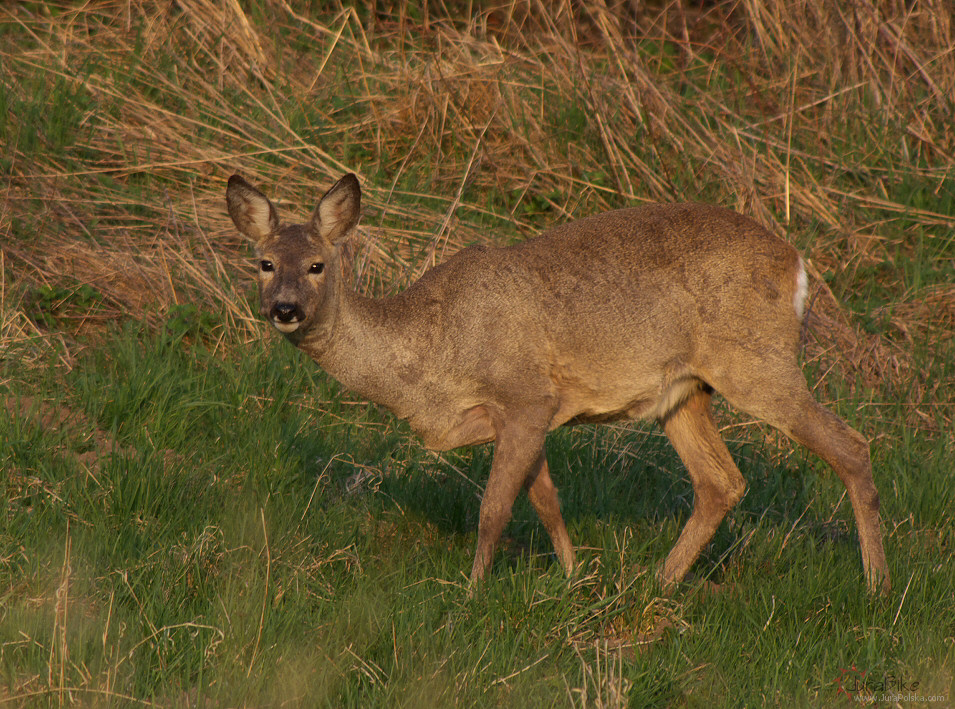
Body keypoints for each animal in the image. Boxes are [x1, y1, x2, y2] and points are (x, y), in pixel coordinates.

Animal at [228, 171, 892, 592]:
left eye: (318, 264)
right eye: (264, 263)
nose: (285, 307)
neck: (430, 355)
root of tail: (798, 264)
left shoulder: (525, 394)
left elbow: (494, 508)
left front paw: (471, 591)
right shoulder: (523, 415)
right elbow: (545, 500)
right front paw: (574, 577)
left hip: (757, 362)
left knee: (850, 446)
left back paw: (877, 586)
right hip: (684, 392)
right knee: (720, 482)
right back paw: (656, 583)